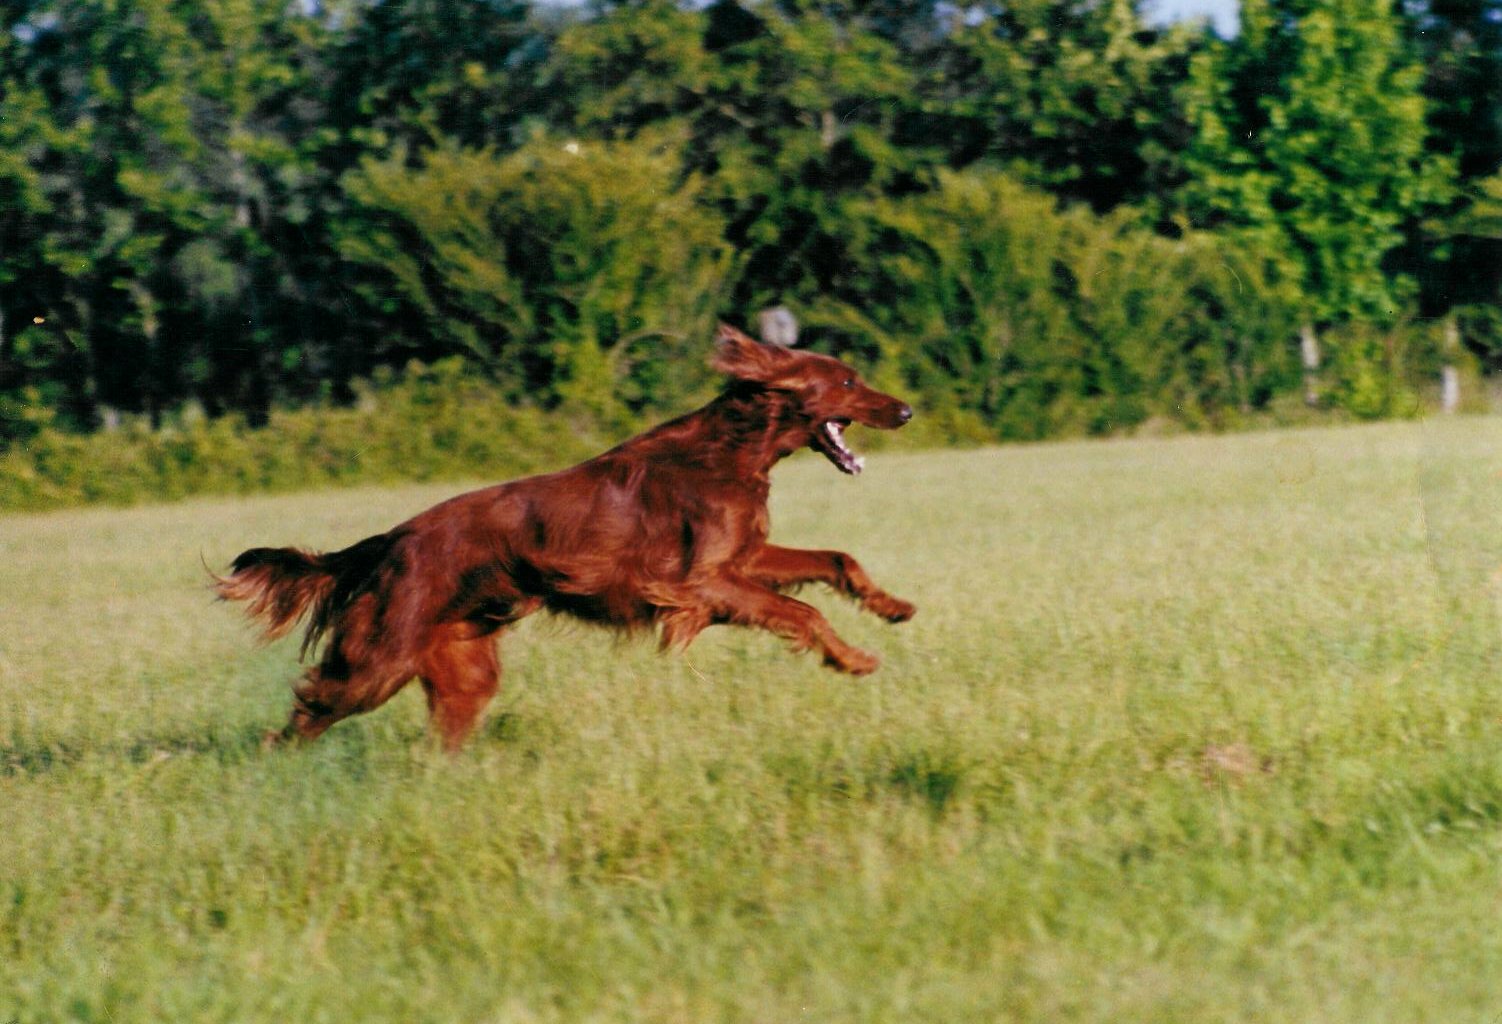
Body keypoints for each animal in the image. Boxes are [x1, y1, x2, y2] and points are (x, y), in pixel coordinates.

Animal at [213, 322, 913, 744]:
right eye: (847, 382)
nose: (906, 410)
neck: (729, 452)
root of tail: (389, 541)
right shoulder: (699, 583)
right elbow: (802, 612)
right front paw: (852, 658)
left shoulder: (745, 559)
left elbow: (836, 559)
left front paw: (892, 606)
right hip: (374, 662)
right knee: (300, 718)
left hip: (462, 672)